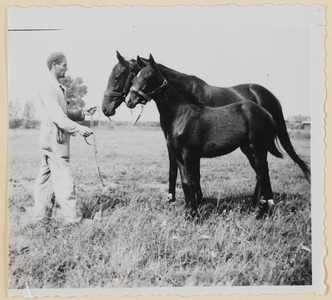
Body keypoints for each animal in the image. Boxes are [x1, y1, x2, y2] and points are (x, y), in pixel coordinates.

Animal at [102, 51, 310, 206]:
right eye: (131, 78)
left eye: (118, 77)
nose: (106, 108)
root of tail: (269, 97)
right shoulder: (173, 145)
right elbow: (175, 171)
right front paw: (176, 199)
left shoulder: (190, 149)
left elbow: (192, 173)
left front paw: (195, 199)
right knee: (260, 172)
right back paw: (256, 202)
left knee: (262, 171)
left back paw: (262, 202)